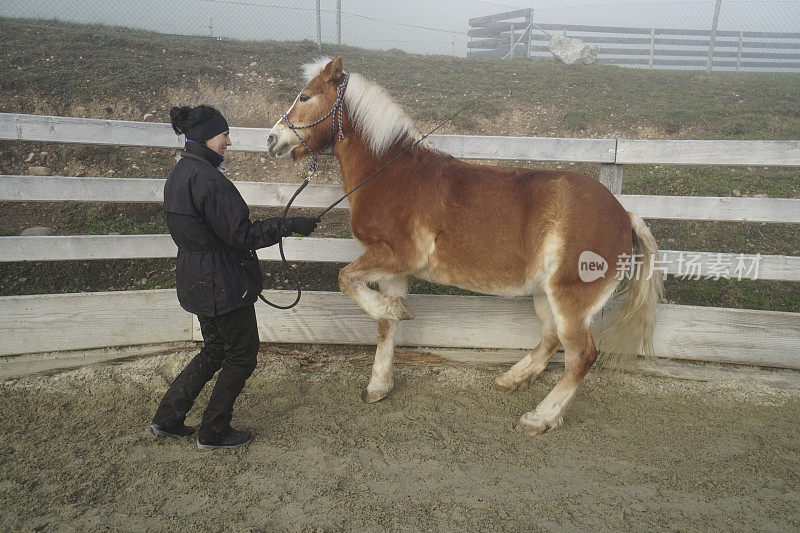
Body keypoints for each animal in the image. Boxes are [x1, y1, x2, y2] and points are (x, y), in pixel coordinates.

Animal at [268, 56, 664, 434]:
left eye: (305, 96)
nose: (272, 139)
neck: (392, 174)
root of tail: (624, 214)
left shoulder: (395, 255)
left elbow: (346, 279)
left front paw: (396, 313)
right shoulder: (394, 270)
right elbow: (383, 324)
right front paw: (380, 380)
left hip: (571, 298)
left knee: (580, 355)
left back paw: (540, 417)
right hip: (544, 293)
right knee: (551, 339)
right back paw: (511, 379)